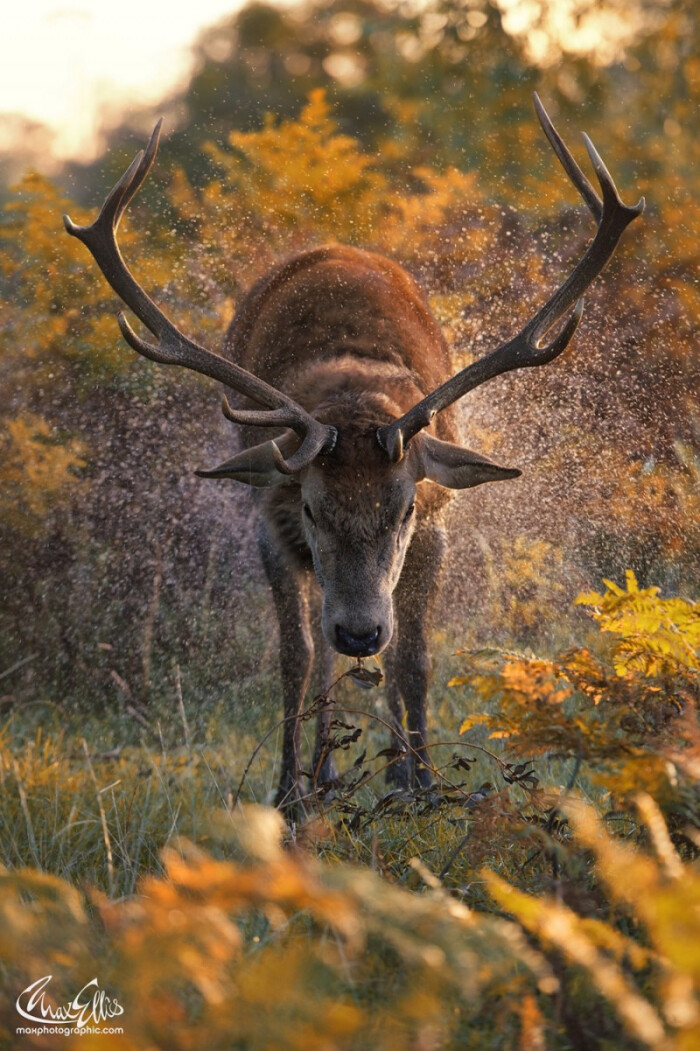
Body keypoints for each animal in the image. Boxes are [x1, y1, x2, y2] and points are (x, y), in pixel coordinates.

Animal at [66, 94, 643, 807]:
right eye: (312, 508)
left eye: (403, 509)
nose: (361, 630)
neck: (353, 398)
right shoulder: (272, 523)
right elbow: (298, 656)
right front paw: (290, 790)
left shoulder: (436, 524)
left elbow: (415, 655)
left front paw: (422, 783)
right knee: (320, 647)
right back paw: (326, 770)